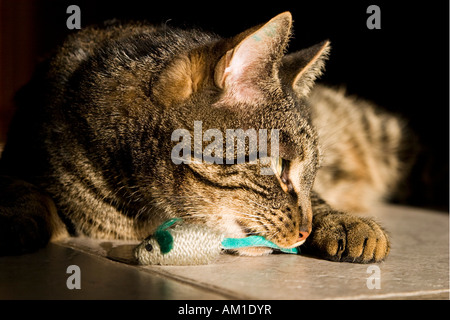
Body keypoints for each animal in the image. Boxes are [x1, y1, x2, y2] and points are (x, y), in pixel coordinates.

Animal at [0, 12, 414, 262]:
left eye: (311, 174)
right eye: (279, 166)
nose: (304, 232)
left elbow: (321, 201)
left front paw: (342, 222)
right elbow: (20, 188)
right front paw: (18, 219)